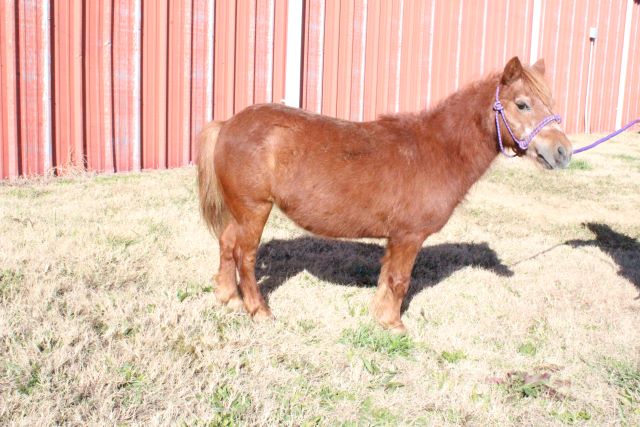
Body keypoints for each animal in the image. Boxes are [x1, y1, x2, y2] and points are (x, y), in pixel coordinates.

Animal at [198, 55, 572, 332]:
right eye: (522, 104)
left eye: (550, 102)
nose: (563, 152)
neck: (437, 151)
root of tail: (228, 124)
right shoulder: (409, 236)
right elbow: (400, 280)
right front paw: (394, 325)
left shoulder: (396, 238)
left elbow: (387, 278)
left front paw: (379, 316)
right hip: (254, 209)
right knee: (245, 256)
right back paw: (258, 310)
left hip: (240, 211)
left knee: (226, 245)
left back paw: (229, 299)